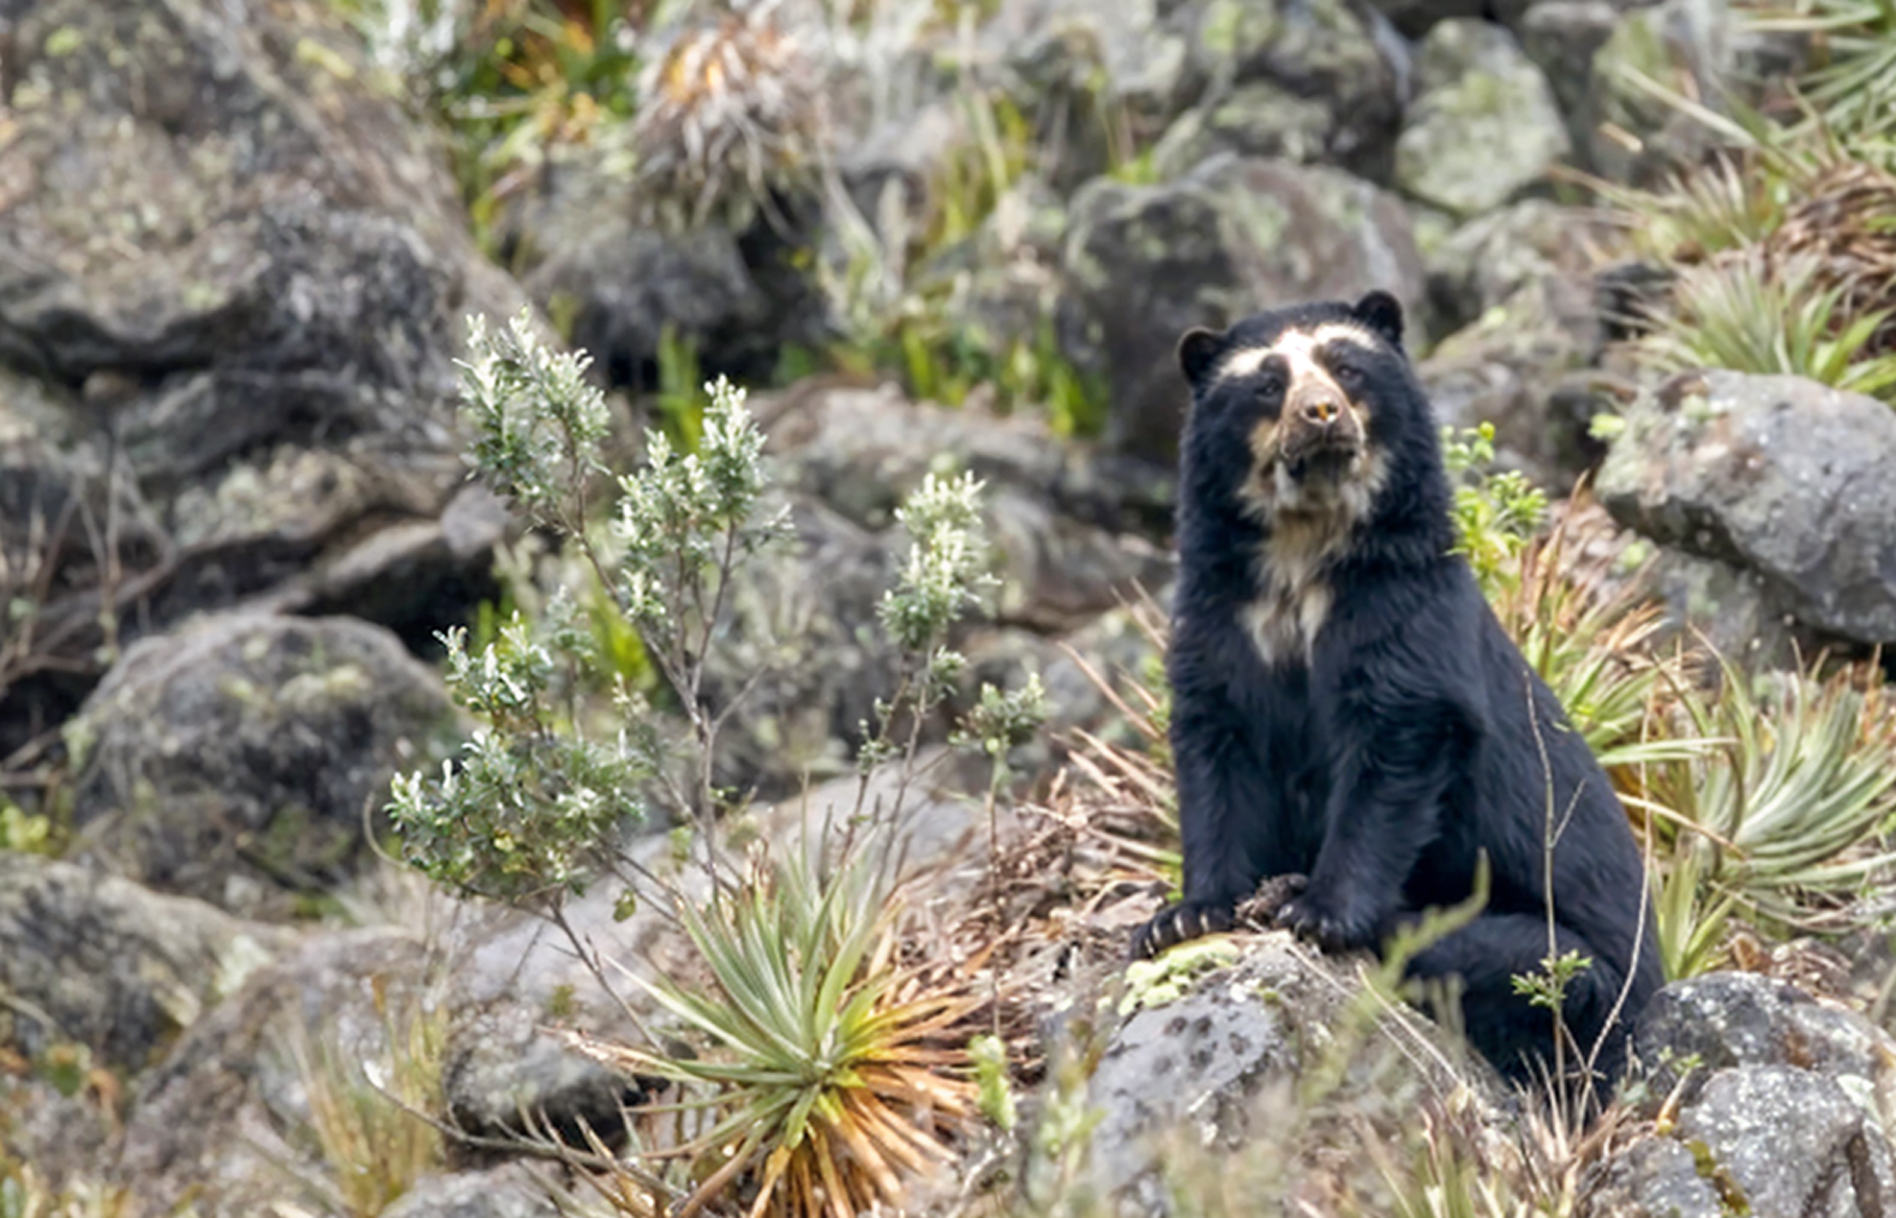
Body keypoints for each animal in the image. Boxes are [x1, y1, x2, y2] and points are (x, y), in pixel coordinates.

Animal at [1137, 288, 1660, 1085]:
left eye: (1347, 366)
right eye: (1267, 384)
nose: (1321, 413)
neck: (1302, 555)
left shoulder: (1406, 607)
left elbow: (1398, 740)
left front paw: (1316, 911)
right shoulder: (1218, 621)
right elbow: (1215, 753)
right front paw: (1186, 914)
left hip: (1584, 978)